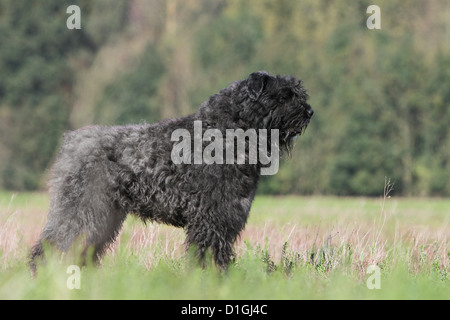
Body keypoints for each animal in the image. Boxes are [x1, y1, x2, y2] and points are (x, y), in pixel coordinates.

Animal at [29, 71, 314, 272]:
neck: (228, 133)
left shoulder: (227, 218)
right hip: (81, 210)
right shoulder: (211, 219)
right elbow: (207, 255)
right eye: (283, 95)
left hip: (102, 216)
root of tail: (70, 140)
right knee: (53, 247)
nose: (310, 112)